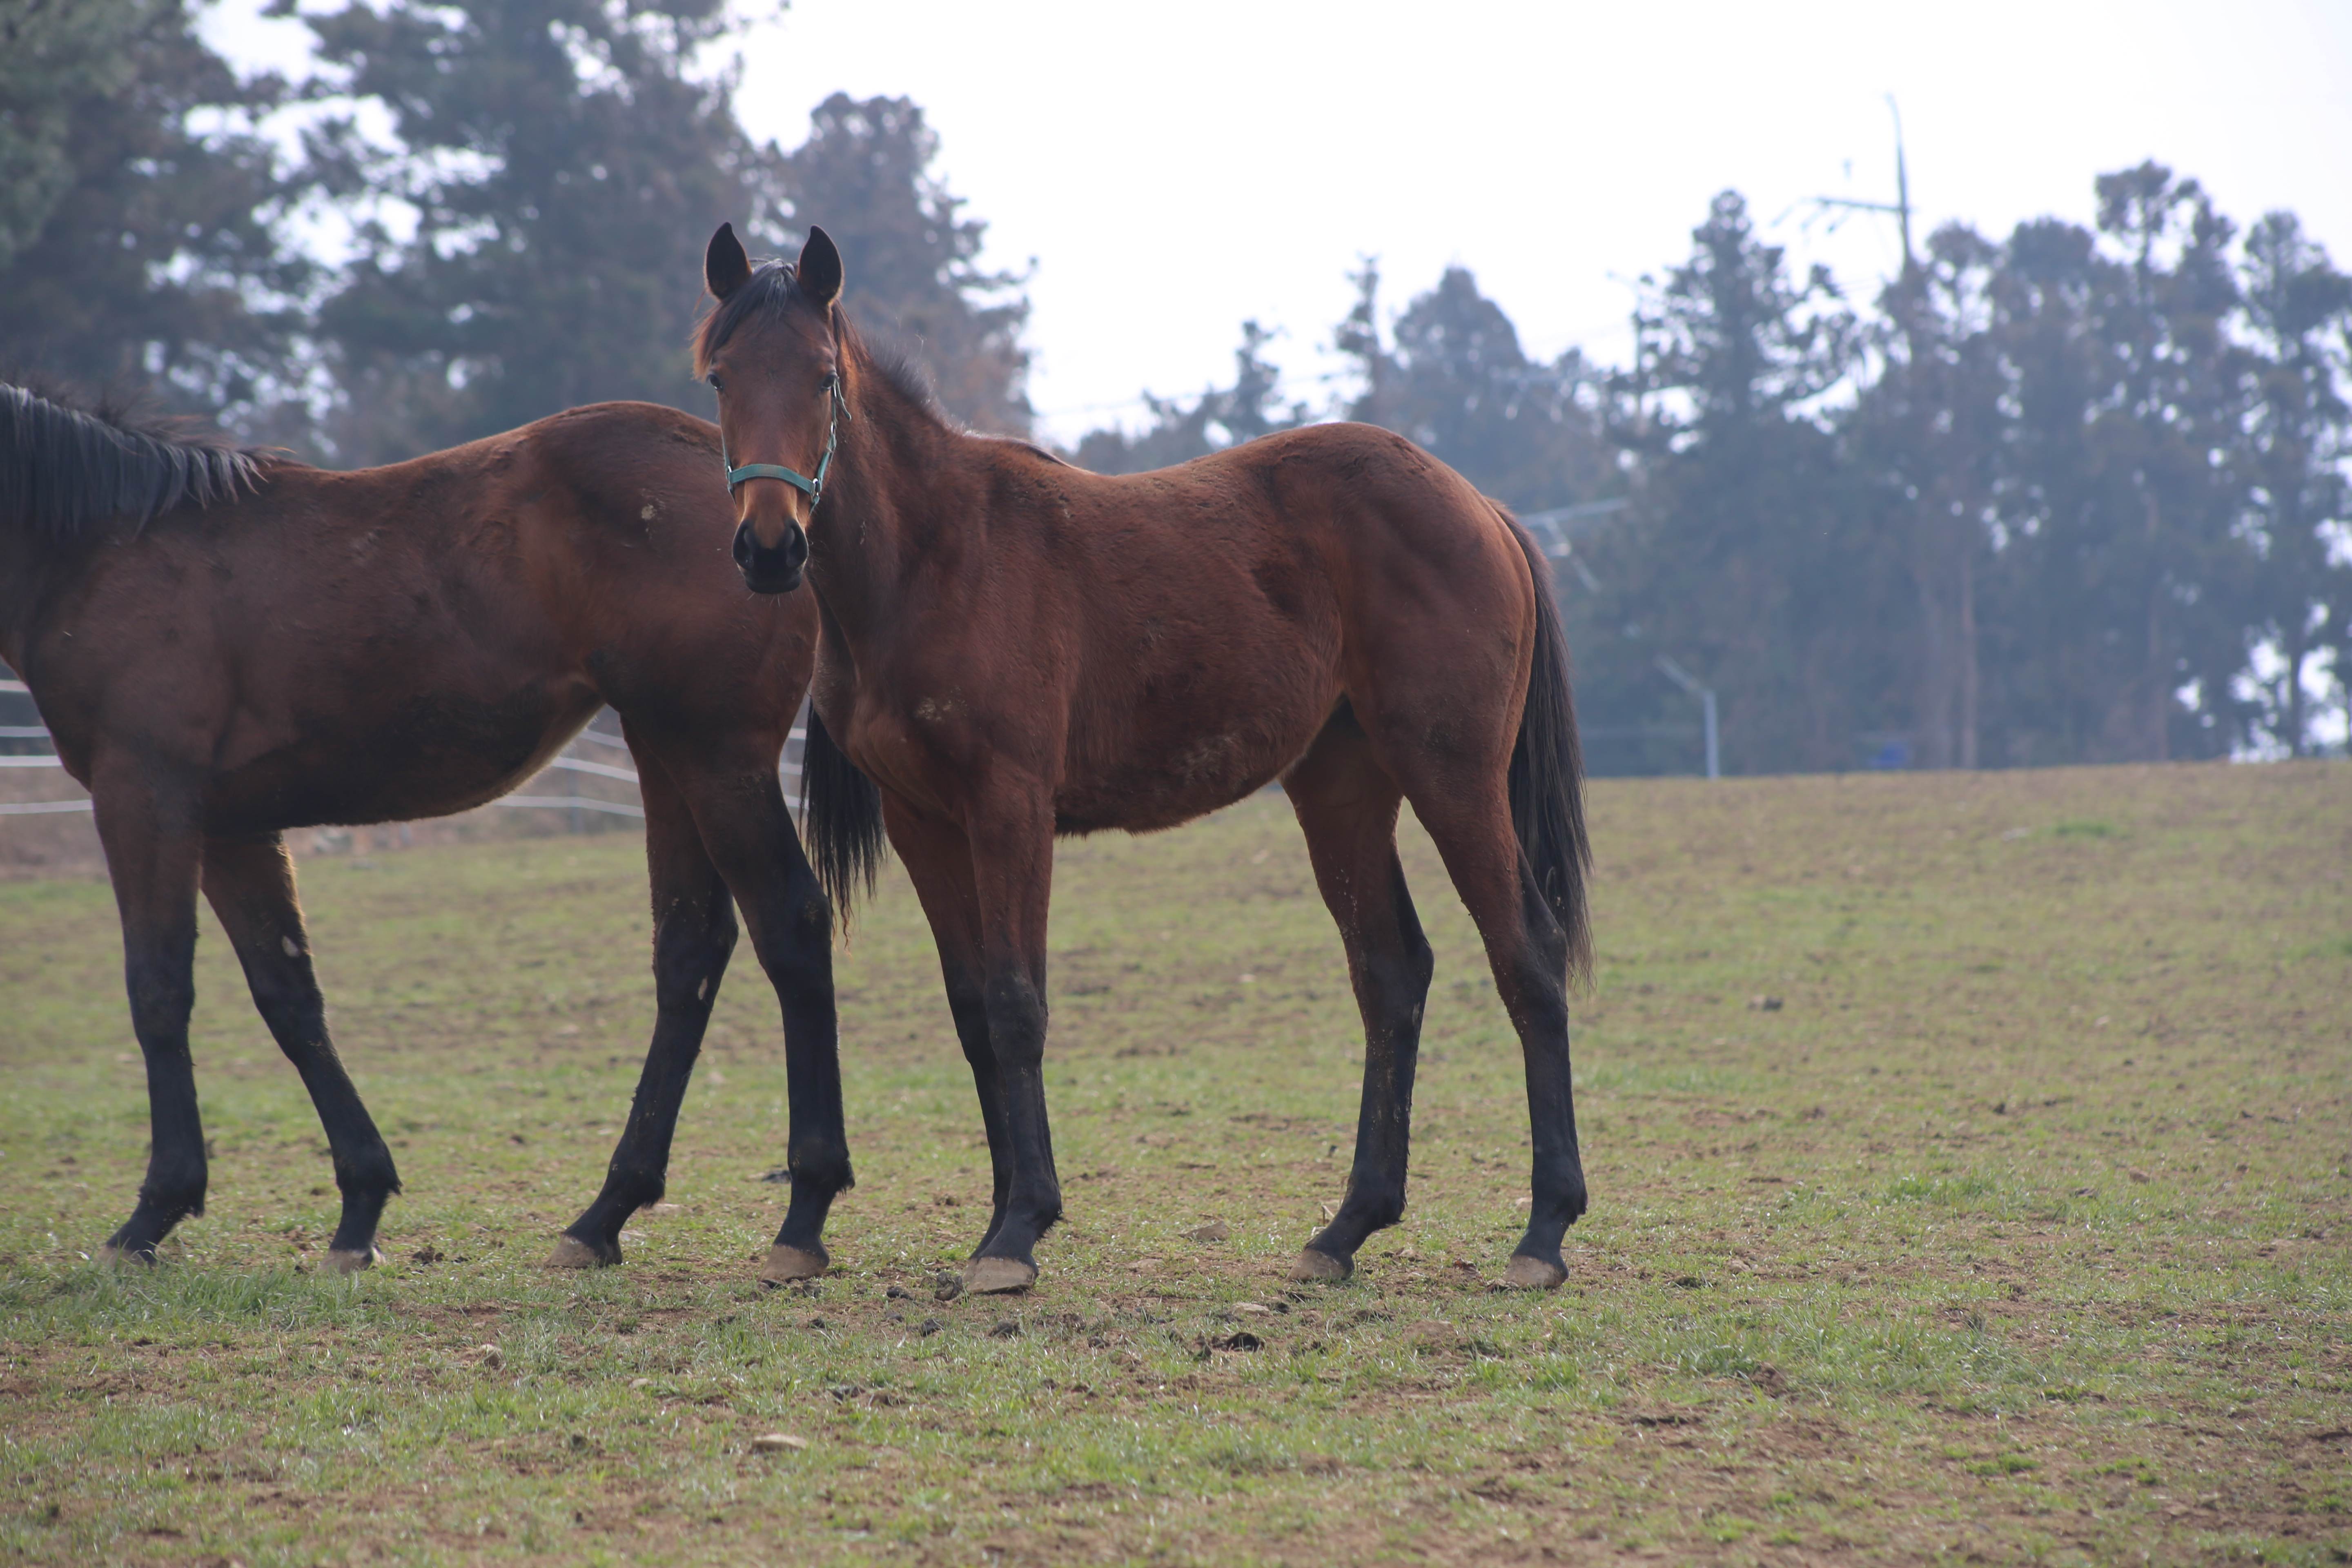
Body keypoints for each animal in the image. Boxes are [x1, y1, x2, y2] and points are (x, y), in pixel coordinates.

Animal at [0, 385, 851, 1278]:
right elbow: (288, 995)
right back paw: (604, 1214)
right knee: (690, 951)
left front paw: (153, 1213)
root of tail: (777, 512)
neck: (103, 547)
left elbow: (159, 992)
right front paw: (360, 1207)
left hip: (718, 758)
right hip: (665, 750)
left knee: (790, 927)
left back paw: (803, 1212)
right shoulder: (232, 824)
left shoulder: (145, 793)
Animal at [686, 227, 1590, 1297]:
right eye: (719, 379)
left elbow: (1016, 1002)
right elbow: (972, 1010)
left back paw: (1542, 1232)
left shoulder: (1010, 808)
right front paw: (997, 1221)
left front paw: (1019, 1230)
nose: (769, 548)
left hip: (1451, 777)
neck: (935, 558)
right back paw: (1346, 1228)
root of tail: (1481, 507)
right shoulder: (924, 821)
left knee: (1525, 955)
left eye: (823, 377)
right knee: (1390, 972)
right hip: (1342, 788)